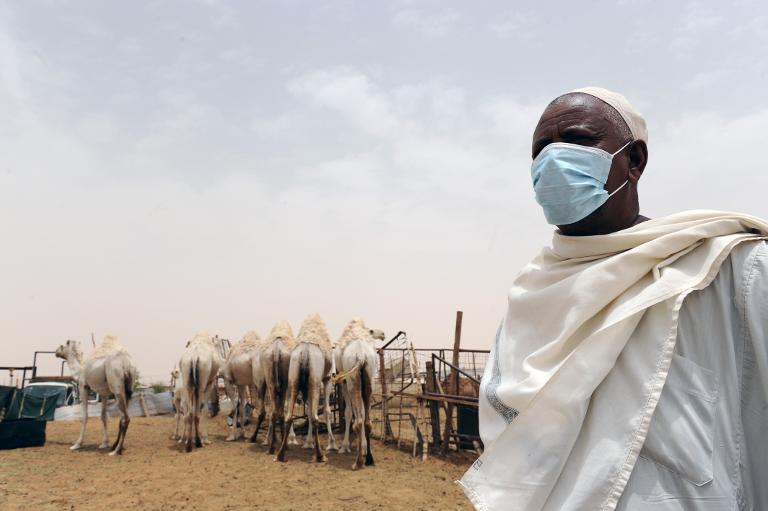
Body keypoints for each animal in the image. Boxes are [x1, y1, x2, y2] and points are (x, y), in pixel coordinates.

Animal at [278, 314, 334, 466]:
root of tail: (305, 352)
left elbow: (308, 411)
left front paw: (308, 443)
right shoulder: (327, 378)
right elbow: (327, 411)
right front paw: (332, 444)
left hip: (293, 377)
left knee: (289, 415)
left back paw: (280, 454)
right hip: (315, 380)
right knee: (315, 417)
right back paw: (320, 456)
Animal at [334, 318, 388, 470]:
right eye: (372, 331)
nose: (383, 334)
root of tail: (362, 356)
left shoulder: (344, 382)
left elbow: (347, 413)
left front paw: (344, 446)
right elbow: (362, 413)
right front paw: (363, 447)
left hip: (352, 381)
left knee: (357, 420)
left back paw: (358, 462)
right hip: (370, 378)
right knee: (367, 421)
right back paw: (369, 458)